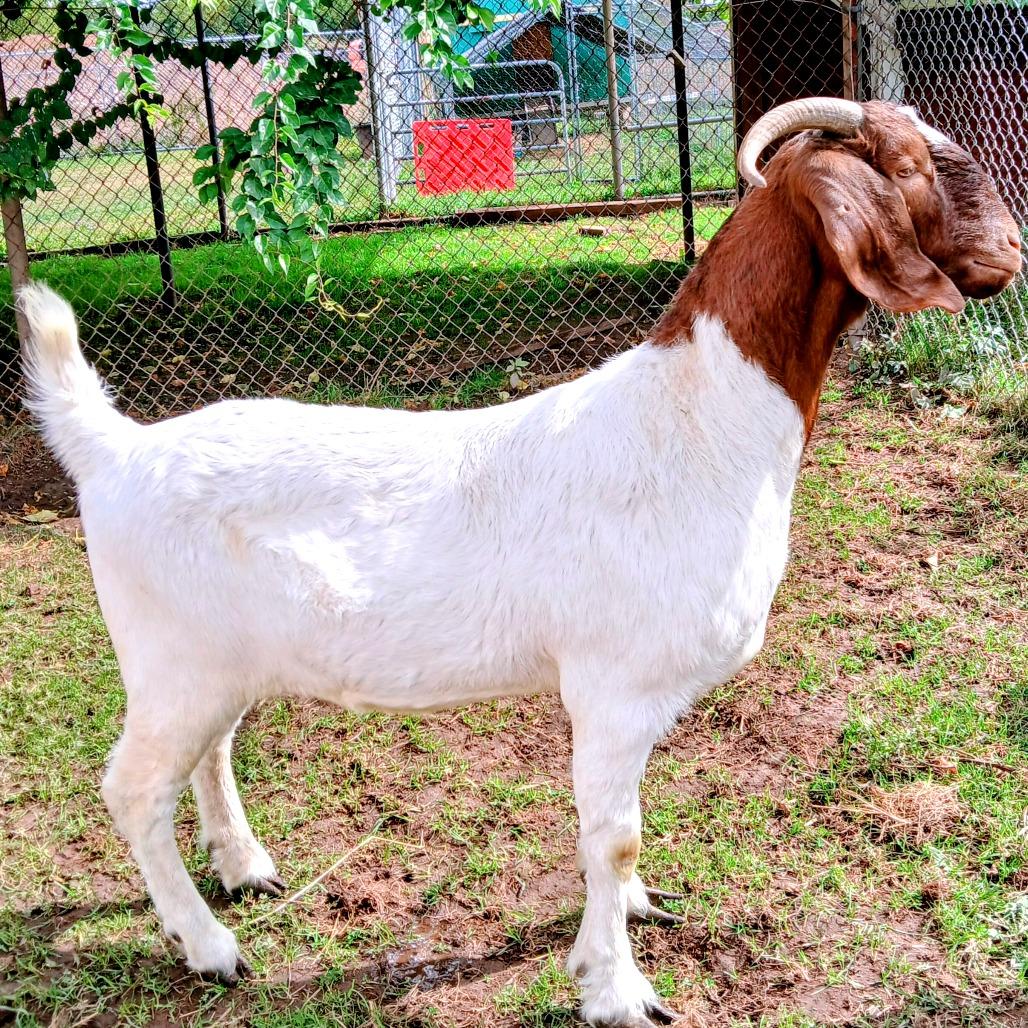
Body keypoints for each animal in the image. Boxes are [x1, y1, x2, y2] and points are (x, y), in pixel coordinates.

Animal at [21, 99, 1020, 1027]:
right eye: (903, 164)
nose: (1012, 247)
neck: (699, 417)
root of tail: (113, 449)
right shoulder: (614, 688)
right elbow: (610, 838)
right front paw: (618, 991)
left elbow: (618, 833)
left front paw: (629, 916)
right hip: (172, 662)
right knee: (133, 789)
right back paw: (210, 946)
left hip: (219, 663)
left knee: (210, 755)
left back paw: (245, 869)